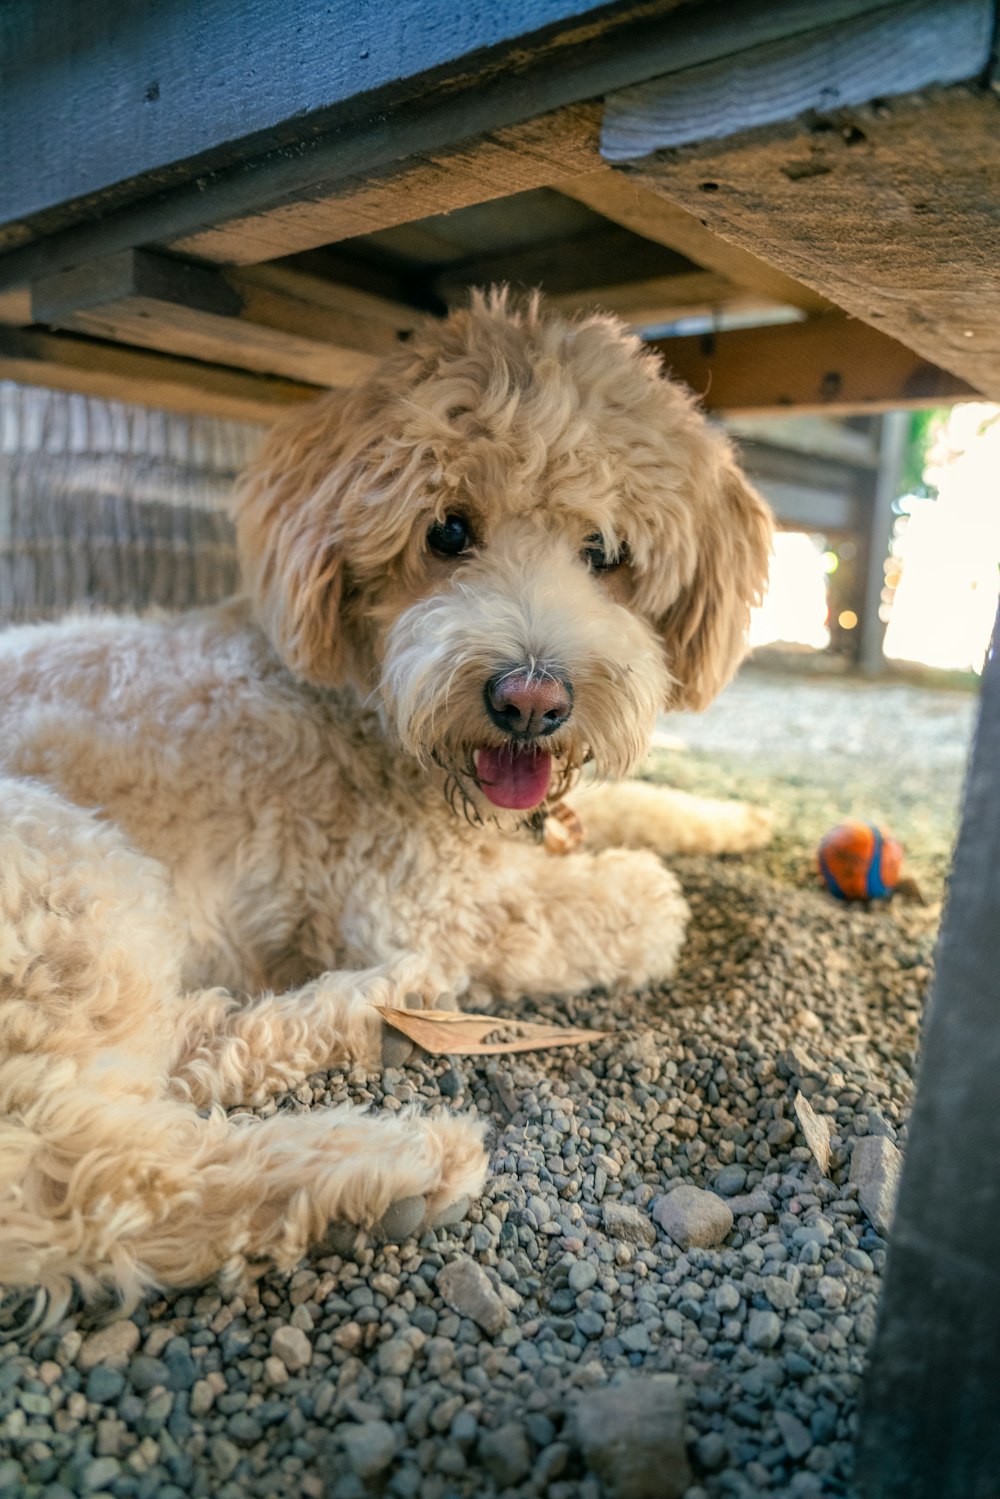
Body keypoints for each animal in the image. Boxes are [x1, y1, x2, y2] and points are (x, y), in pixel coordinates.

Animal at [0, 286, 773, 1307]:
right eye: (447, 533)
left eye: (605, 552)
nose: (532, 701)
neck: (365, 708)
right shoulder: (427, 897)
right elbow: (640, 907)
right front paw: (649, 886)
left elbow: (634, 803)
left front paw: (734, 820)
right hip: (65, 879)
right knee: (98, 1178)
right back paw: (386, 1168)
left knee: (187, 1051)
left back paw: (366, 1009)